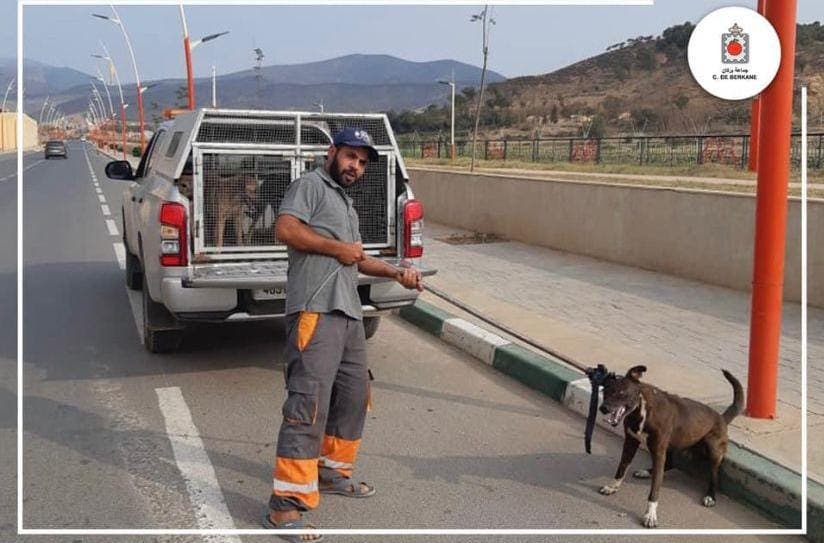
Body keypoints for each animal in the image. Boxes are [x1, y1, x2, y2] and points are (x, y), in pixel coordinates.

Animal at [596, 368, 744, 528]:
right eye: (605, 391)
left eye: (622, 392)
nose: (603, 408)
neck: (642, 410)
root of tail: (721, 418)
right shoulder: (630, 443)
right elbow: (621, 468)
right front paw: (613, 487)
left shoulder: (658, 450)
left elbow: (655, 489)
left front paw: (650, 514)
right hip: (673, 444)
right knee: (669, 464)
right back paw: (647, 472)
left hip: (713, 450)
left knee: (714, 475)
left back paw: (710, 495)